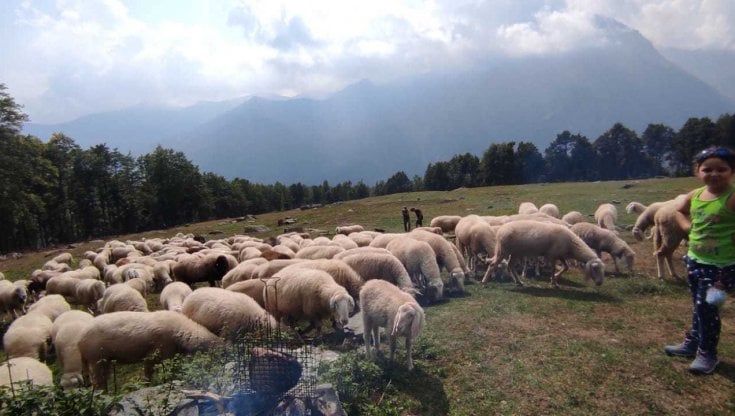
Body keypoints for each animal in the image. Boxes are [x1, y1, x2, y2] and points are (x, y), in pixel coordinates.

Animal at [78, 311, 222, 389]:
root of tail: (80, 340)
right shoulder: (153, 355)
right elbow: (149, 374)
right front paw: (148, 385)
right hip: (96, 359)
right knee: (98, 383)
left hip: (104, 361)